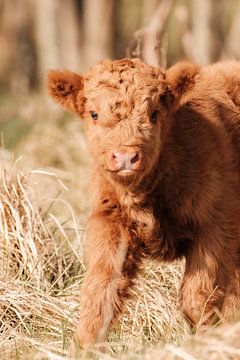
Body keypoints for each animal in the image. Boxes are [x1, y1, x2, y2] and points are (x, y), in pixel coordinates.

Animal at [47, 59, 240, 348]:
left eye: (154, 113)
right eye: (94, 114)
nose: (126, 157)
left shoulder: (216, 228)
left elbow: (198, 295)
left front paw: (207, 343)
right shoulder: (110, 223)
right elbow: (100, 291)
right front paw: (83, 346)